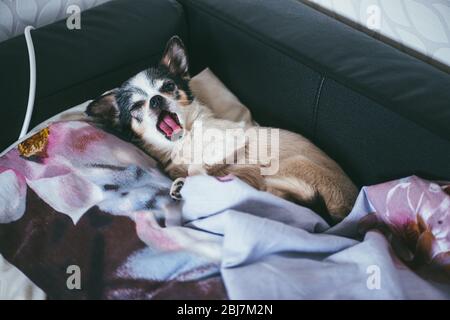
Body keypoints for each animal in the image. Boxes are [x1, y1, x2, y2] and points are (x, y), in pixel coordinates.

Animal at [86, 35, 356, 220]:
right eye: (136, 107)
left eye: (168, 87)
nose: (155, 100)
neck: (185, 139)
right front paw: (183, 182)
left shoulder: (233, 138)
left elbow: (197, 165)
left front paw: (191, 178)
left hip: (285, 168)